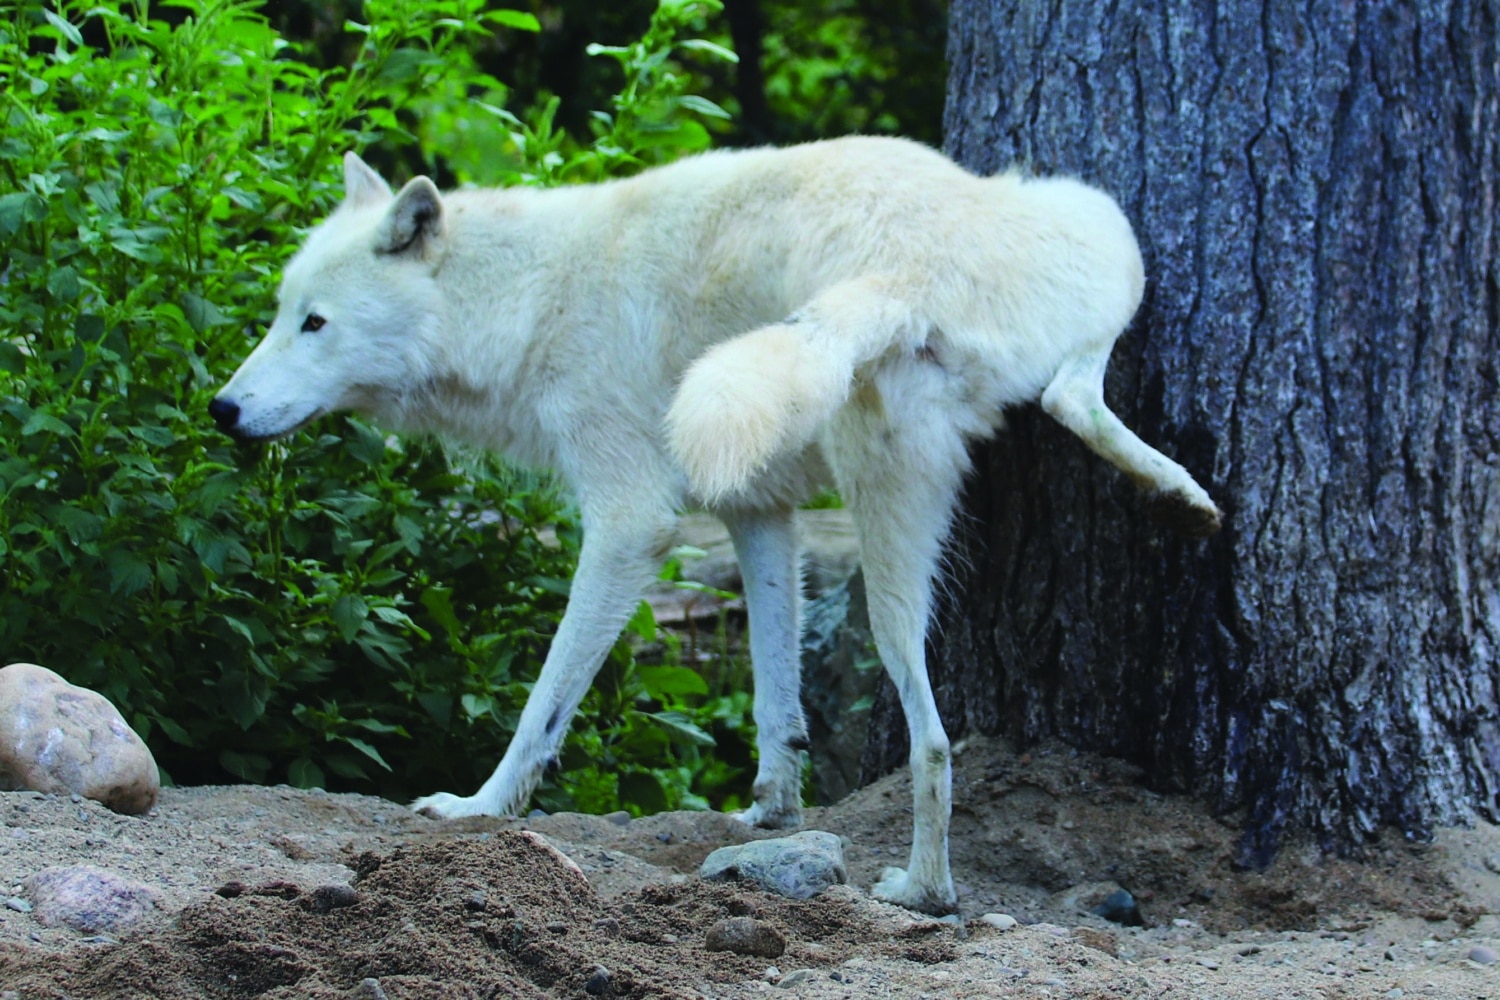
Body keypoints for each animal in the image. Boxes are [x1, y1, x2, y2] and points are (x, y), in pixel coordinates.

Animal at [209, 136, 1220, 915]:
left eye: (314, 323)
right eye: (279, 314)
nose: (221, 408)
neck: (527, 299)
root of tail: (902, 264)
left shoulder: (629, 524)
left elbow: (545, 702)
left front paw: (481, 807)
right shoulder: (758, 516)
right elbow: (778, 699)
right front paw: (770, 813)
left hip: (907, 489)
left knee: (934, 742)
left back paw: (922, 892)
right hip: (1085, 242)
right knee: (1068, 393)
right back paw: (1181, 493)